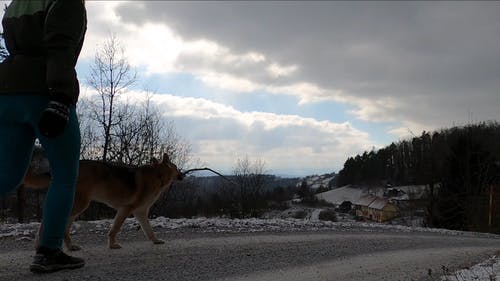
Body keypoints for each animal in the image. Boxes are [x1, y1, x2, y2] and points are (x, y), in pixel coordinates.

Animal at [23, 153, 184, 249]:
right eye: (176, 167)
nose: (182, 174)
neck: (158, 175)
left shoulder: (140, 213)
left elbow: (149, 230)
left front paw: (156, 241)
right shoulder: (126, 210)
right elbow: (115, 229)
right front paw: (112, 245)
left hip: (76, 206)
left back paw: (69, 246)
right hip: (79, 205)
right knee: (48, 223)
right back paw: (41, 244)